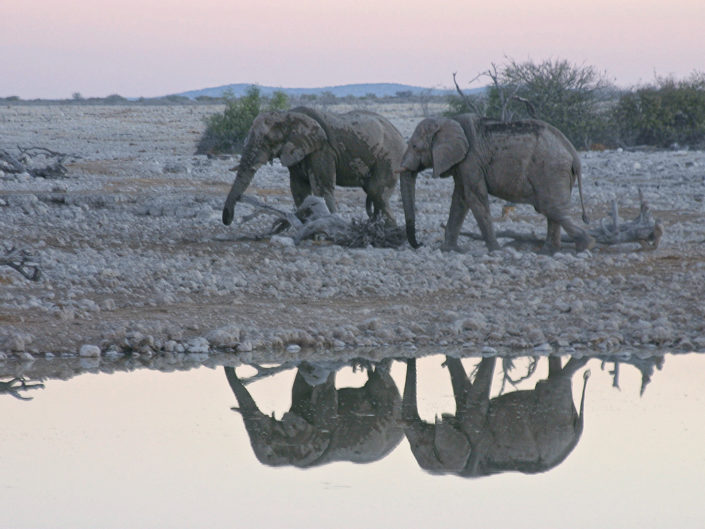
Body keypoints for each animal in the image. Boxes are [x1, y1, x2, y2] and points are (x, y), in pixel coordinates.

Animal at [221, 106, 406, 227]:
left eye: (267, 141)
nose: (228, 220)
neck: (287, 115)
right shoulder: (296, 151)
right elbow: (299, 190)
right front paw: (305, 222)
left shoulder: (322, 149)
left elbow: (321, 189)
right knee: (373, 191)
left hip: (390, 155)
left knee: (376, 190)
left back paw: (390, 228)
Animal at [398, 114, 595, 253]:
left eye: (414, 146)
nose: (420, 244)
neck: (448, 120)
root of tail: (572, 151)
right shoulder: (462, 164)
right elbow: (460, 199)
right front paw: (448, 250)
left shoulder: (471, 160)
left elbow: (474, 197)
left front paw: (496, 250)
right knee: (553, 211)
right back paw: (548, 252)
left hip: (550, 170)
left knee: (551, 208)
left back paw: (585, 245)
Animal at [402, 355, 590, 477]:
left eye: (421, 444)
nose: (407, 359)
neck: (457, 473)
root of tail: (578, 430)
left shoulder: (476, 434)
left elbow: (475, 399)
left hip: (553, 419)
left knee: (555, 381)